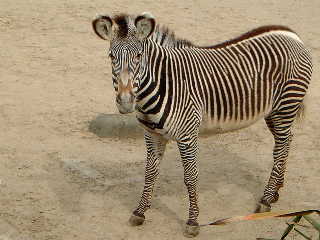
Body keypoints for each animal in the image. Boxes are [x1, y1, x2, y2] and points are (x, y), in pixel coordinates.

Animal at [92, 12, 312, 236]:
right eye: (111, 57)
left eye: (138, 56)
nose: (126, 102)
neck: (163, 84)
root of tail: (291, 35)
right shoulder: (152, 135)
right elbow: (150, 173)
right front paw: (140, 212)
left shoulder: (187, 136)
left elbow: (190, 177)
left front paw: (193, 222)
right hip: (275, 110)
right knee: (286, 142)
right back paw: (276, 190)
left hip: (286, 104)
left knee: (280, 149)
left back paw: (266, 199)